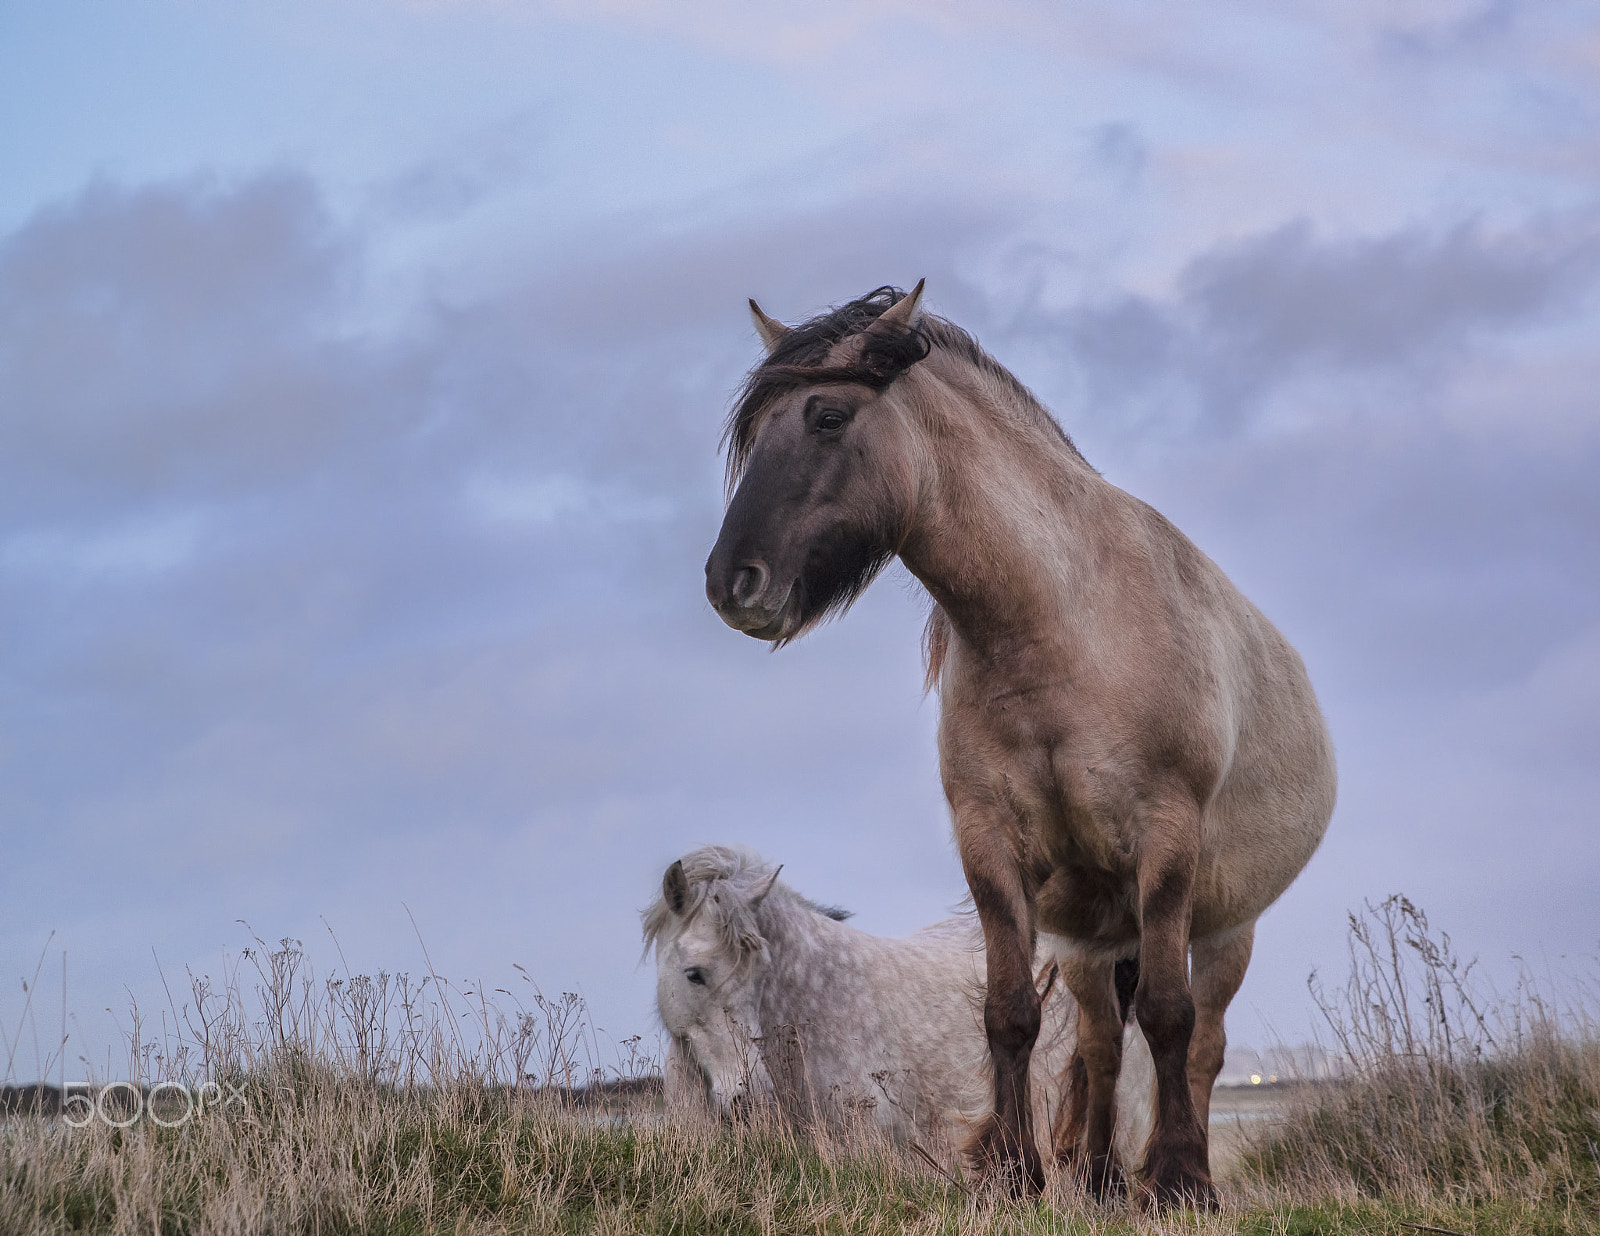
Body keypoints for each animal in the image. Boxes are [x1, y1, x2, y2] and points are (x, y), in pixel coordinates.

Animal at [704, 284, 1337, 1203]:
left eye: (827, 416)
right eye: (754, 435)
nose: (731, 583)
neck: (1062, 627)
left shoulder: (1166, 844)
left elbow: (1172, 1020)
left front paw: (1179, 1179)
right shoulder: (992, 842)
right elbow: (1009, 1012)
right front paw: (1011, 1169)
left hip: (1224, 928)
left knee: (1203, 1043)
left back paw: (1170, 1170)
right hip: (1091, 941)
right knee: (1102, 1044)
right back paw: (1101, 1176)